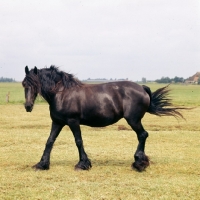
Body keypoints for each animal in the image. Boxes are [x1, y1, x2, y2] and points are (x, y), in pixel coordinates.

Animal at [22, 66, 184, 172]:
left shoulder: (73, 122)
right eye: (24, 84)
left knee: (143, 135)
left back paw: (139, 163)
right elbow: (50, 141)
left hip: (133, 120)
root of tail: (142, 88)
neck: (62, 93)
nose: (28, 106)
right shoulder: (57, 122)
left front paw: (82, 164)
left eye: (35, 84)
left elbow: (78, 141)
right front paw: (42, 164)